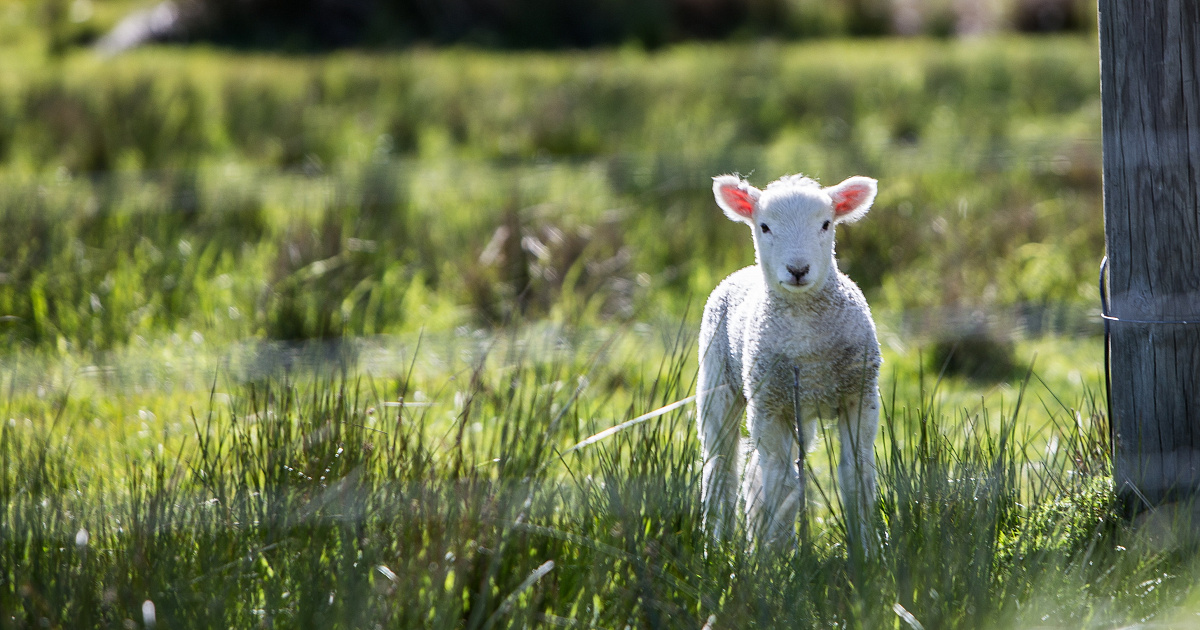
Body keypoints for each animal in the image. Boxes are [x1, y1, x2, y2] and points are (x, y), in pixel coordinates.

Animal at [696, 171, 883, 544]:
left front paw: (866, 548)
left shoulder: (860, 397)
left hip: (799, 410)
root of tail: (741, 272)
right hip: (717, 381)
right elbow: (781, 484)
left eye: (826, 224)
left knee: (757, 470)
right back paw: (718, 542)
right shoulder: (769, 406)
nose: (798, 269)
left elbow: (856, 476)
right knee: (721, 465)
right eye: (765, 226)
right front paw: (777, 553)